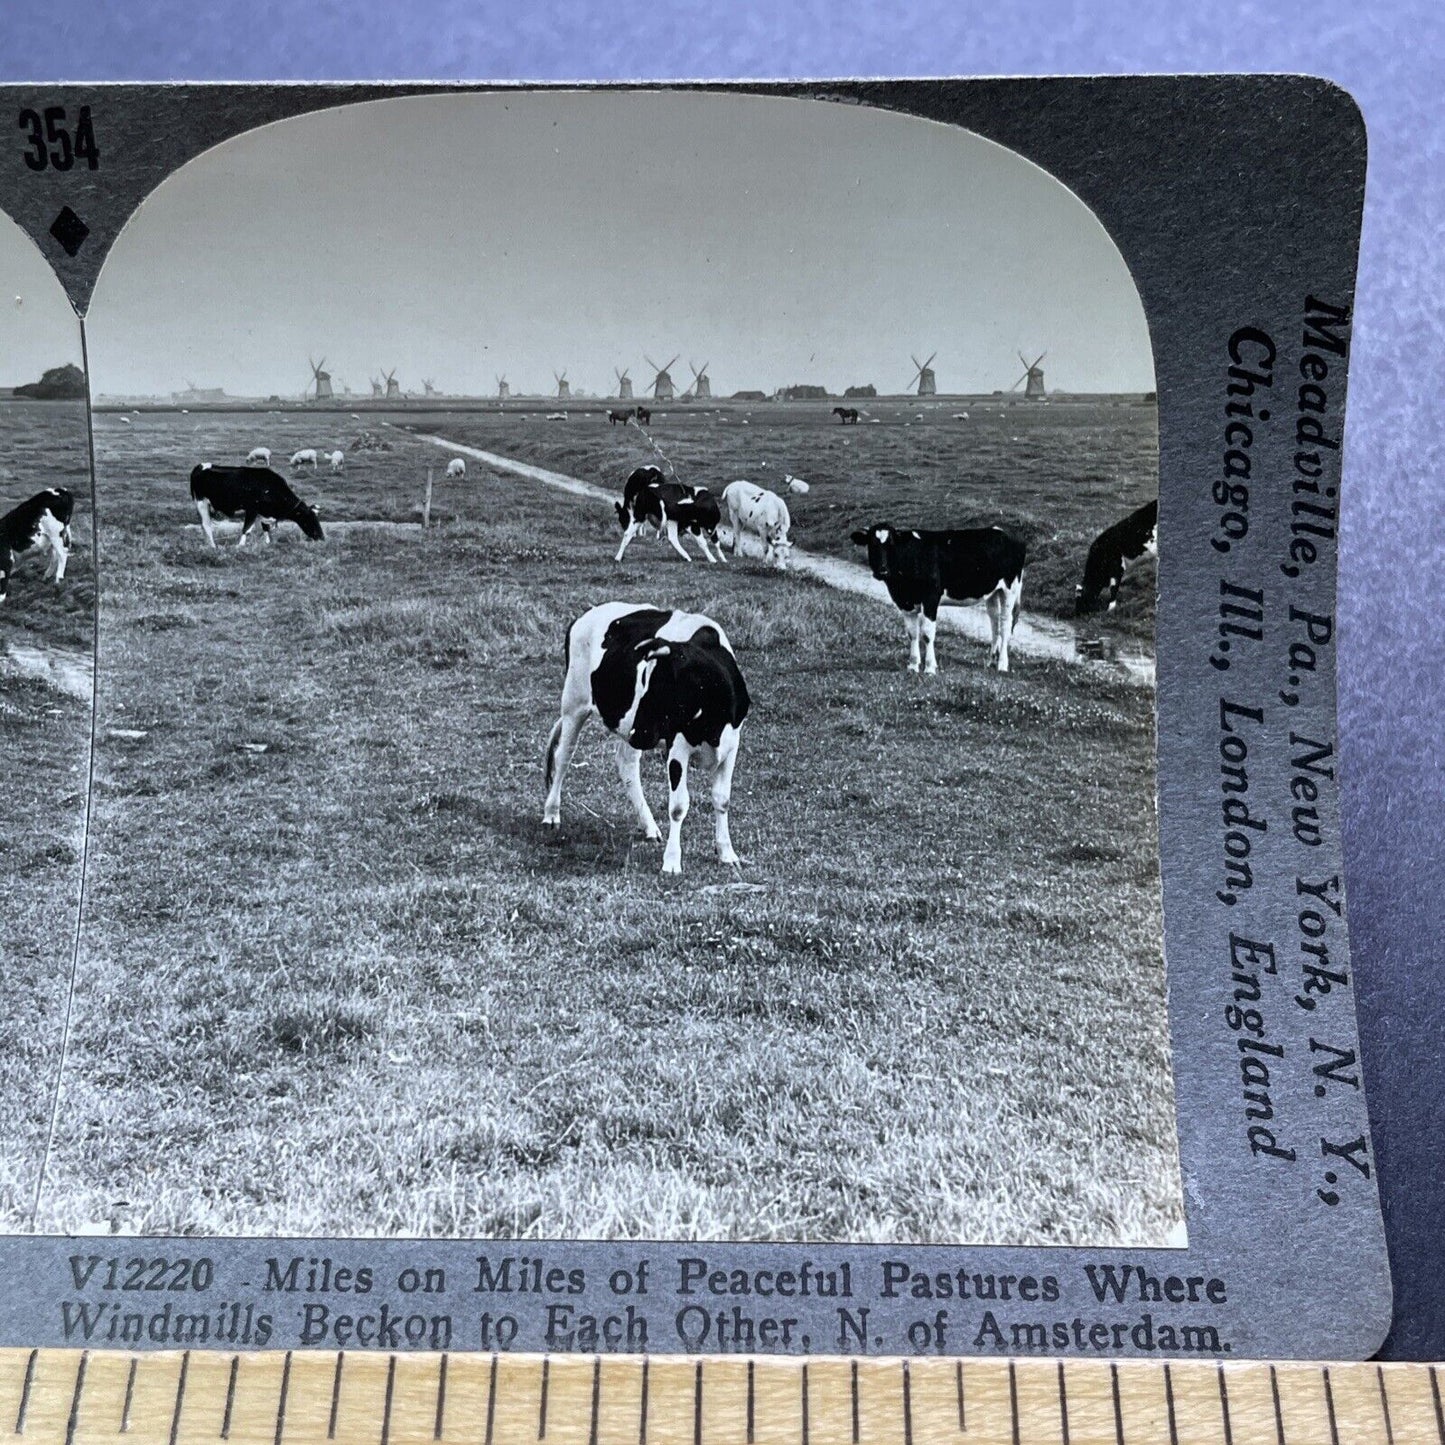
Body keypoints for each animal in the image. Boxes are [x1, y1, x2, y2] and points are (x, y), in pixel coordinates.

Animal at [189, 462, 325, 546]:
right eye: (310, 519)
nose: (322, 537)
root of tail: (199, 466)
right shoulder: (252, 509)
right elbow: (246, 529)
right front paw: (240, 546)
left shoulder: (263, 512)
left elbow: (266, 528)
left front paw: (268, 543)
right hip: (201, 503)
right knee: (206, 526)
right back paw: (213, 546)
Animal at [540, 598, 751, 867]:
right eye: (645, 684)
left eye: (664, 688)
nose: (637, 734)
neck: (710, 724)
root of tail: (585, 615)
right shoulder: (677, 746)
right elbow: (678, 806)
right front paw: (671, 862)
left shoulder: (732, 744)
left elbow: (722, 799)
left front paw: (727, 853)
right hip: (574, 704)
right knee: (563, 757)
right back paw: (551, 814)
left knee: (626, 763)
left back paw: (649, 826)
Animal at [843, 523, 1028, 673]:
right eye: (872, 544)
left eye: (892, 545)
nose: (882, 570)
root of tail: (1006, 531)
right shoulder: (905, 602)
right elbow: (912, 633)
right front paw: (913, 665)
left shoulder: (931, 597)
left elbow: (927, 634)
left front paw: (930, 668)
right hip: (993, 591)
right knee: (994, 623)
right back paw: (991, 661)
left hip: (1010, 588)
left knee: (1005, 625)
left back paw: (1002, 664)